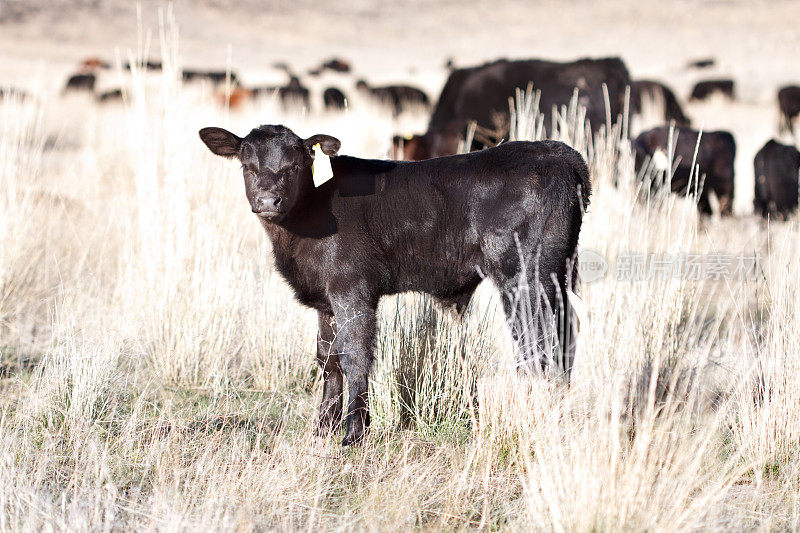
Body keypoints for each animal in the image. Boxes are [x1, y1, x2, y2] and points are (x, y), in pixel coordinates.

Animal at [198, 124, 592, 444]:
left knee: (536, 339)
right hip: (556, 274)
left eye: (294, 166)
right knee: (564, 332)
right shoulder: (327, 302)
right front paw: (323, 429)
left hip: (524, 276)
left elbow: (355, 356)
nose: (268, 201)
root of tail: (557, 153)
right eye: (247, 167)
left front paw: (353, 433)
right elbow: (328, 359)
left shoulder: (352, 291)